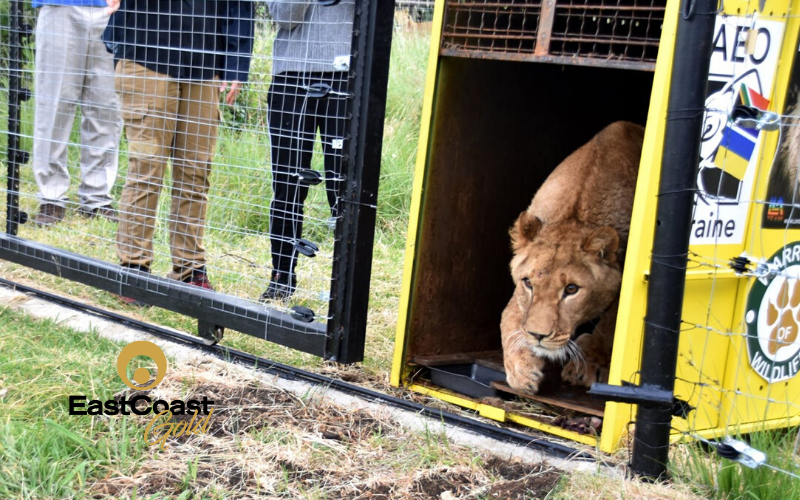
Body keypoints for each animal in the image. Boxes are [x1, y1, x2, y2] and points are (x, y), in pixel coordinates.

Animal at [504, 122, 648, 394]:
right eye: (528, 283)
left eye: (572, 289)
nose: (538, 336)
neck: (577, 213)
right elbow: (509, 317)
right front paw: (521, 368)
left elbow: (611, 327)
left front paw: (589, 365)